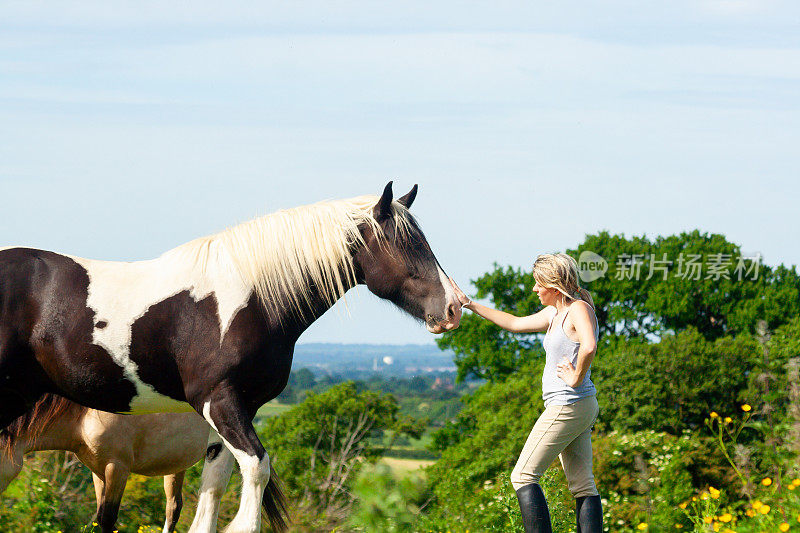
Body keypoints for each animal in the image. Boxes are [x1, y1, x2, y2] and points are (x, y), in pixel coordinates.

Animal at [0, 181, 460, 528]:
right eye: (405, 245)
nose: (454, 307)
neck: (250, 301)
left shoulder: (238, 411)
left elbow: (215, 486)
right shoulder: (218, 403)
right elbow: (257, 470)